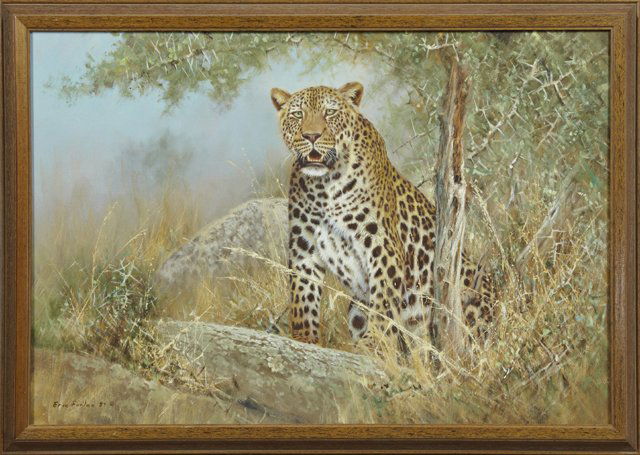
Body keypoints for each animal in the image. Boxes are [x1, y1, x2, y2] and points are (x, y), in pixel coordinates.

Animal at [270, 81, 494, 351]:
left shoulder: (381, 244)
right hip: (356, 308)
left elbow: (383, 302)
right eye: (297, 115)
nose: (311, 136)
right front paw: (305, 340)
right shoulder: (304, 248)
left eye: (330, 113)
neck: (325, 185)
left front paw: (373, 342)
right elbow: (303, 298)